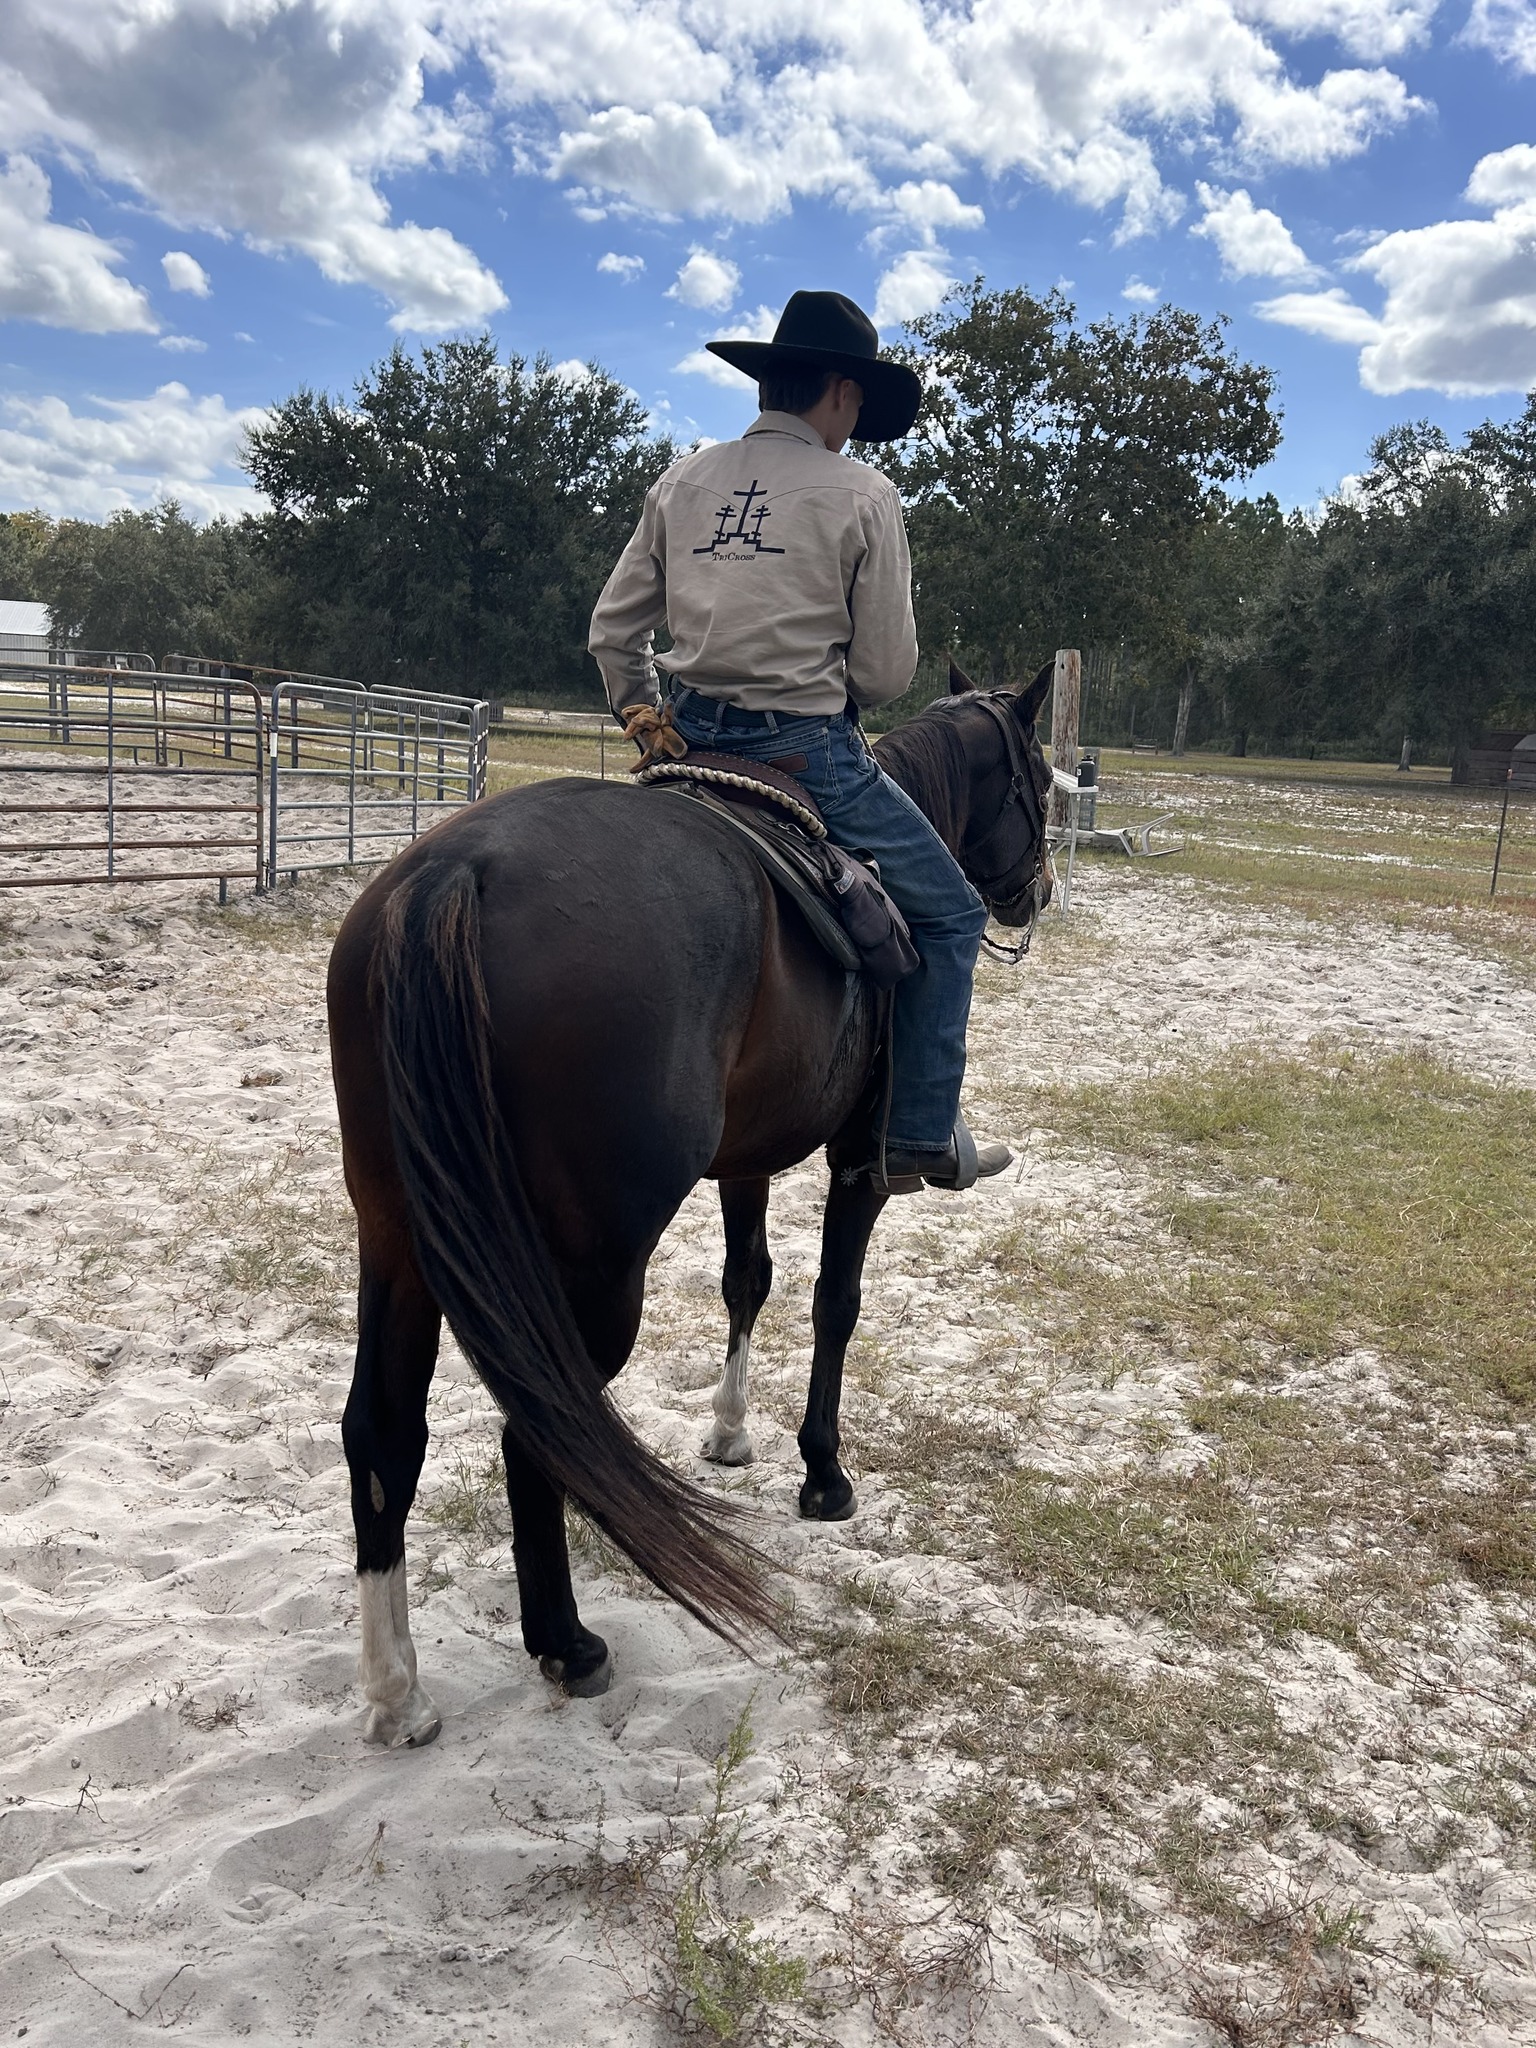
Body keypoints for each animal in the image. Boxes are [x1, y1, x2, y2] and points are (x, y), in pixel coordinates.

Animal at [325, 658, 1054, 1746]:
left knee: (382, 1429)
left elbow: (746, 1280)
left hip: (397, 1230)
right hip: (592, 1266)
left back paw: (396, 1691)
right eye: (1040, 780)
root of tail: (456, 873)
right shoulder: (858, 1160)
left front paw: (728, 1432)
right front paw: (822, 1474)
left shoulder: (747, 1159)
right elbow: (835, 1304)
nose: (1034, 890)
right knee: (539, 1424)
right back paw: (568, 1643)